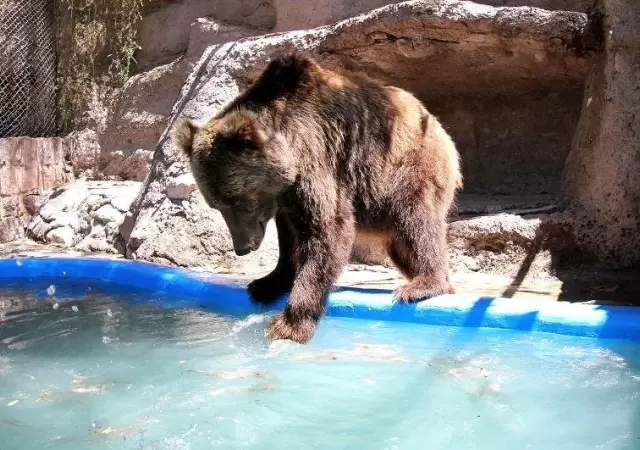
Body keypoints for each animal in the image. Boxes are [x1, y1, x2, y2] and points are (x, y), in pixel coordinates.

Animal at [172, 52, 462, 344]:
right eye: (216, 205)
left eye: (237, 201)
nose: (243, 247)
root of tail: (438, 125)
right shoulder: (285, 198)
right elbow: (289, 238)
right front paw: (266, 284)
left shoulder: (317, 154)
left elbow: (327, 229)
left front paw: (289, 324)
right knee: (401, 242)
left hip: (406, 166)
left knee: (415, 219)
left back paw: (424, 284)